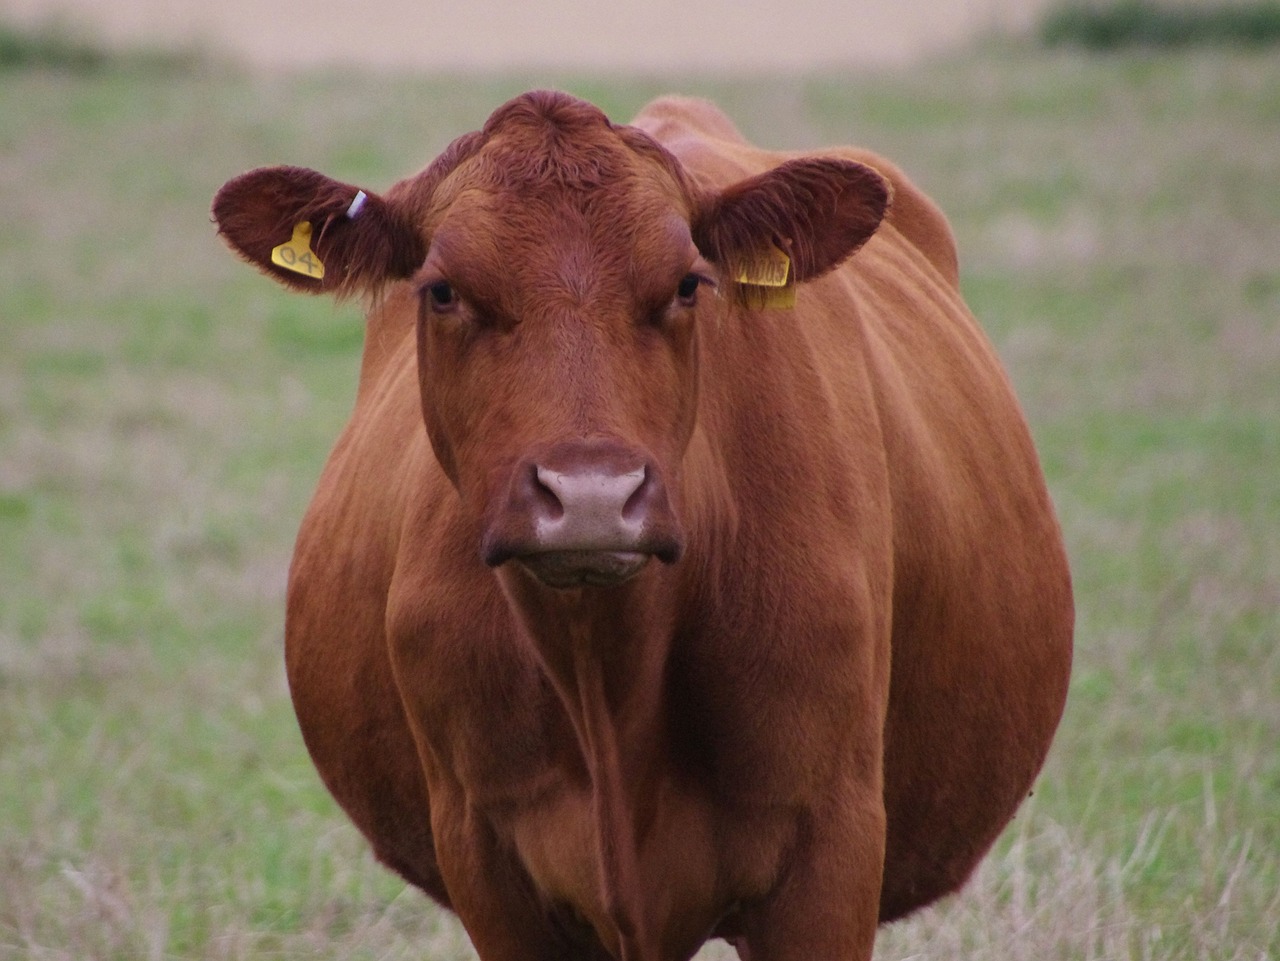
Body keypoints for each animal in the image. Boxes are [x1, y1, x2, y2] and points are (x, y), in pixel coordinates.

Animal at [215, 92, 1075, 961]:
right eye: (443, 290)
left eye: (690, 284)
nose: (591, 494)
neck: (604, 676)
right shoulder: (482, 855)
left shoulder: (832, 848)